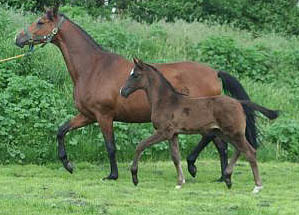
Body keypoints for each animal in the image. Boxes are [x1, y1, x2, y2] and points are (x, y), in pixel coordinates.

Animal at [120, 58, 278, 193]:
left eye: (135, 75)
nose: (123, 91)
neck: (166, 101)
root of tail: (239, 103)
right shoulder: (173, 134)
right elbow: (175, 157)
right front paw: (180, 182)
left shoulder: (163, 132)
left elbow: (140, 145)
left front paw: (134, 178)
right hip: (225, 133)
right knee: (239, 150)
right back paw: (227, 178)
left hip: (233, 133)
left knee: (250, 152)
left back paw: (257, 186)